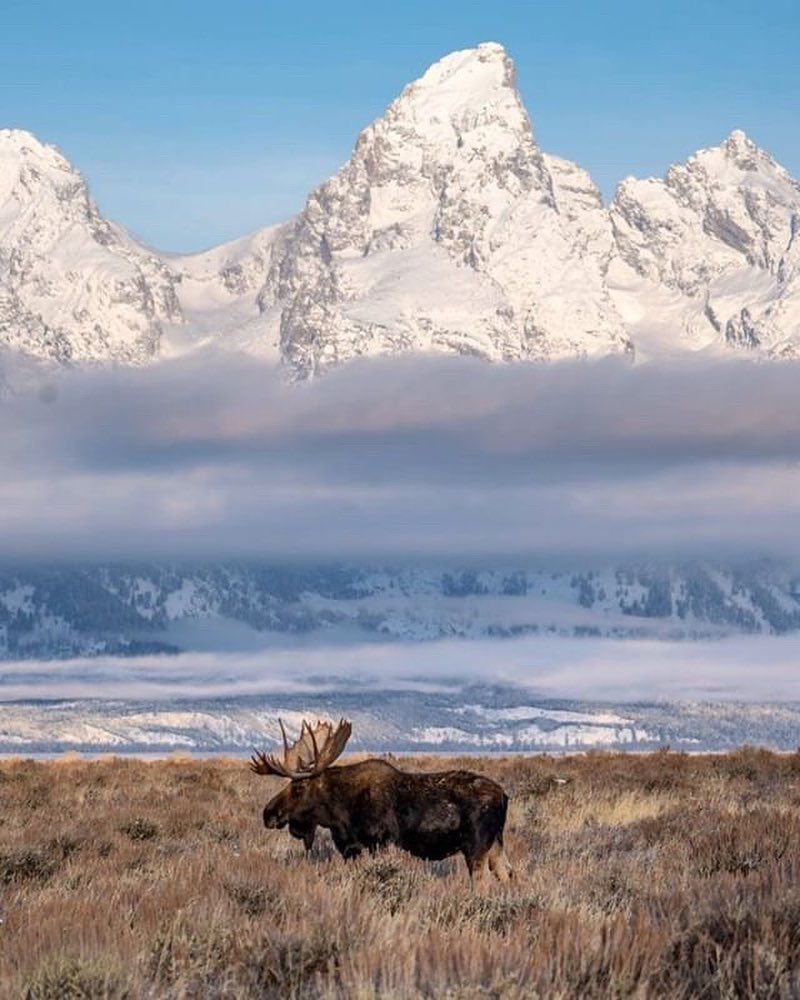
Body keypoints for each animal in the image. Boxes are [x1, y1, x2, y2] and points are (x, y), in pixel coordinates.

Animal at [250, 718, 513, 888]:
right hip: (495, 844)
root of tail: (504, 796)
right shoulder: (351, 848)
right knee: (509, 875)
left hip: (476, 846)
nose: (268, 813)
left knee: (484, 884)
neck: (339, 812)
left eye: (299, 787)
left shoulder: (381, 842)